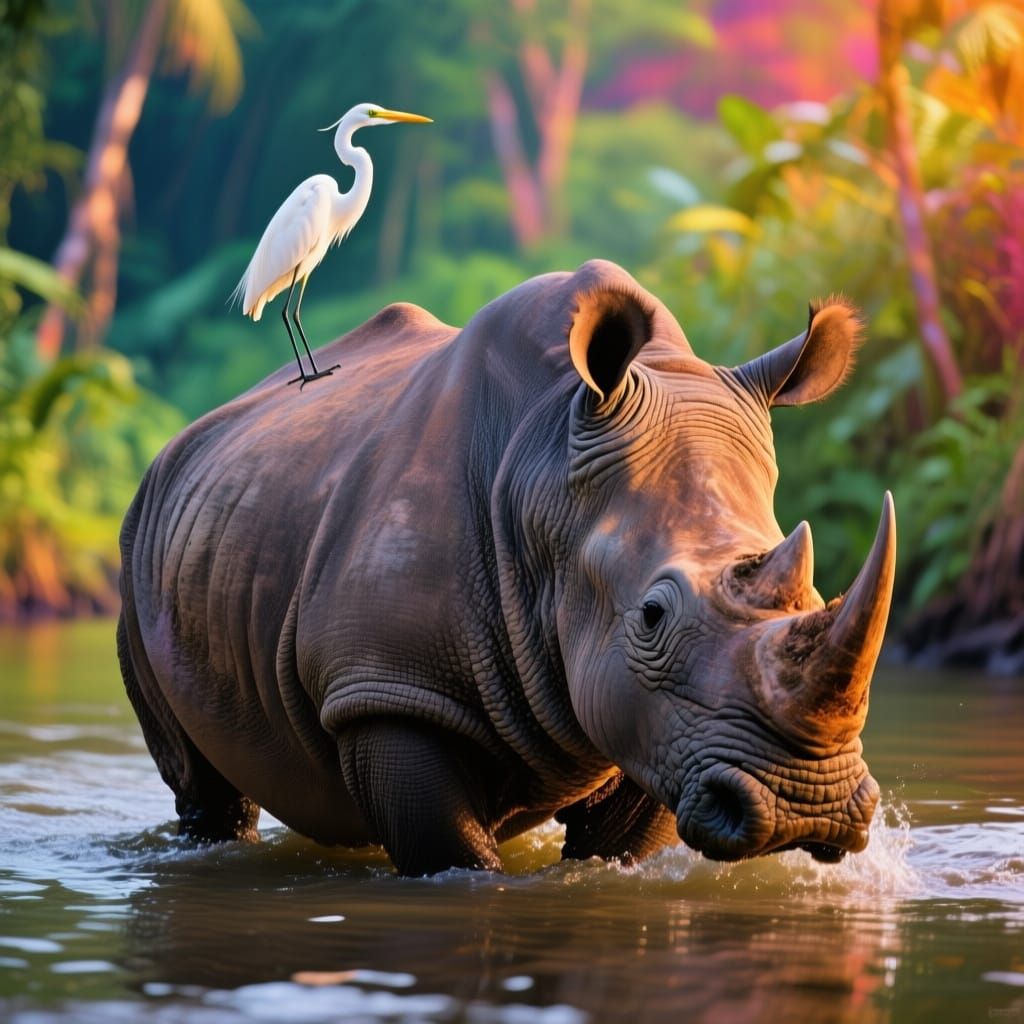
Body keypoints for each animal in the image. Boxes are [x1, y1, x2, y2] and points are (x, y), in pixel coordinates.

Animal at [117, 259, 895, 875]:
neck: (544, 469)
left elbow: (615, 847)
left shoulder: (661, 725)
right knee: (204, 789)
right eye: (651, 615)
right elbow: (450, 852)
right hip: (138, 536)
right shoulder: (388, 682)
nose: (806, 805)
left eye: (815, 594)